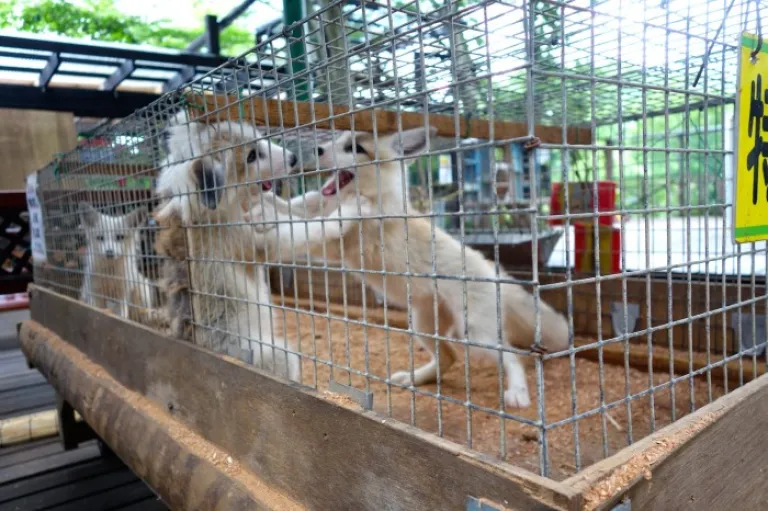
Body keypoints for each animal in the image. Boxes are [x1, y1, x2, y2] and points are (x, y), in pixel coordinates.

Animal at [249, 127, 569, 408]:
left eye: (355, 148)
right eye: (336, 141)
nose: (316, 149)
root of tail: (491, 269)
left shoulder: (337, 237)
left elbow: (303, 224)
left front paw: (263, 214)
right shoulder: (312, 207)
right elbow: (289, 206)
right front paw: (256, 199)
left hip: (476, 337)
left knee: (513, 356)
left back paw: (517, 393)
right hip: (423, 327)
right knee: (449, 358)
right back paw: (416, 379)